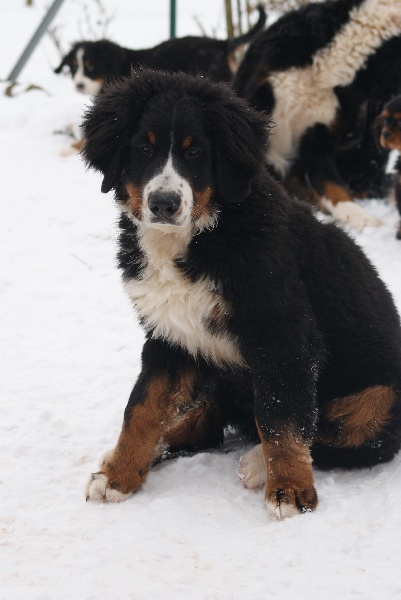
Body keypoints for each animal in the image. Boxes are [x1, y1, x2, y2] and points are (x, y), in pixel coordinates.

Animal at [80, 70, 400, 516]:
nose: (163, 203)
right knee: (207, 426)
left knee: (344, 432)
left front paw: (290, 490)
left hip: (381, 400)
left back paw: (256, 464)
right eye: (143, 148)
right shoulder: (170, 334)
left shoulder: (282, 335)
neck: (201, 236)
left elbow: (280, 417)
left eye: (196, 152)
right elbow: (141, 408)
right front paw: (119, 476)